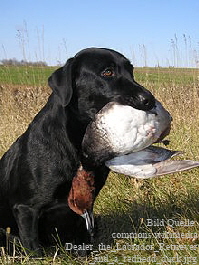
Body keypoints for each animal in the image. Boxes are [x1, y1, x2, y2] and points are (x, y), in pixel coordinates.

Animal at [0, 47, 155, 254]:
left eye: (131, 70)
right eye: (108, 72)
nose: (149, 100)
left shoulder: (85, 208)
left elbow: (82, 240)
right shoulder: (26, 208)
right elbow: (34, 249)